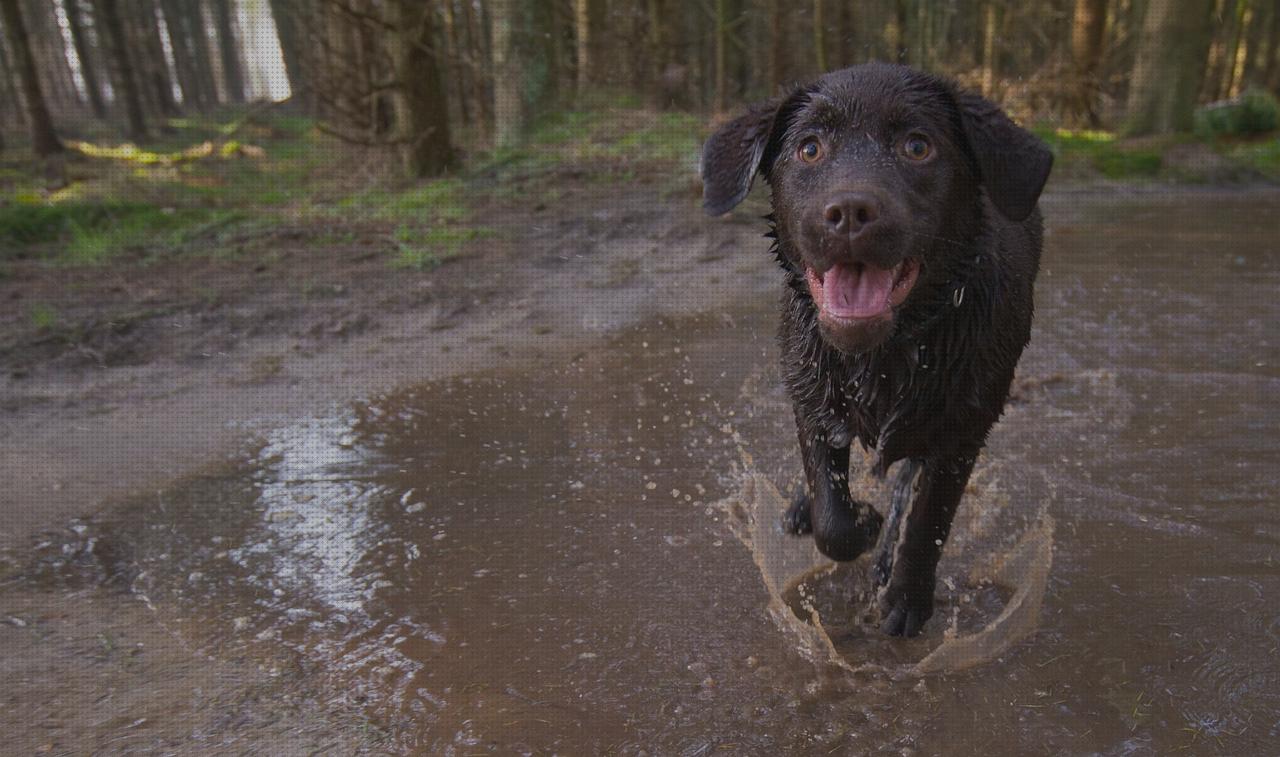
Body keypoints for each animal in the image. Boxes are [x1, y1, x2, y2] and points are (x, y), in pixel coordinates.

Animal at [701, 62, 1049, 637]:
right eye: (810, 148)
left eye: (917, 146)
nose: (848, 211)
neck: (884, 357)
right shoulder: (811, 400)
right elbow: (832, 516)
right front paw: (857, 520)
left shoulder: (962, 432)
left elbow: (927, 521)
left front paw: (906, 597)